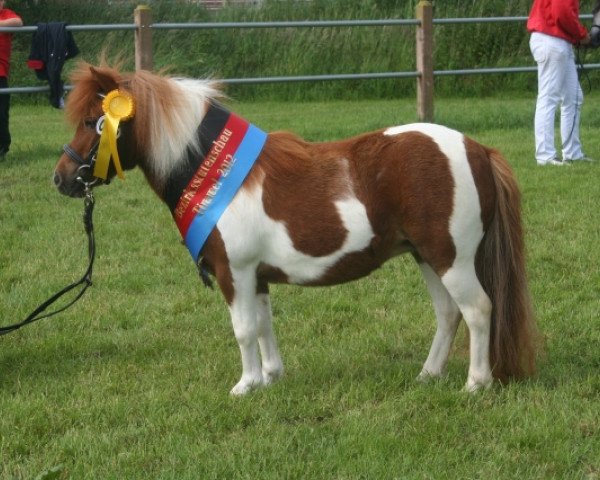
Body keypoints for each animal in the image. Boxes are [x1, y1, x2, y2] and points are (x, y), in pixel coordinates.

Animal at [54, 63, 536, 394]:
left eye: (92, 122)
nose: (61, 179)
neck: (214, 172)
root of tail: (477, 149)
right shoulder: (257, 276)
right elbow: (264, 325)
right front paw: (270, 377)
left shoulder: (234, 272)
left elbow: (244, 328)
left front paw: (245, 385)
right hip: (427, 257)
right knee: (449, 313)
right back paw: (428, 373)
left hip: (452, 258)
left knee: (478, 310)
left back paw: (475, 383)